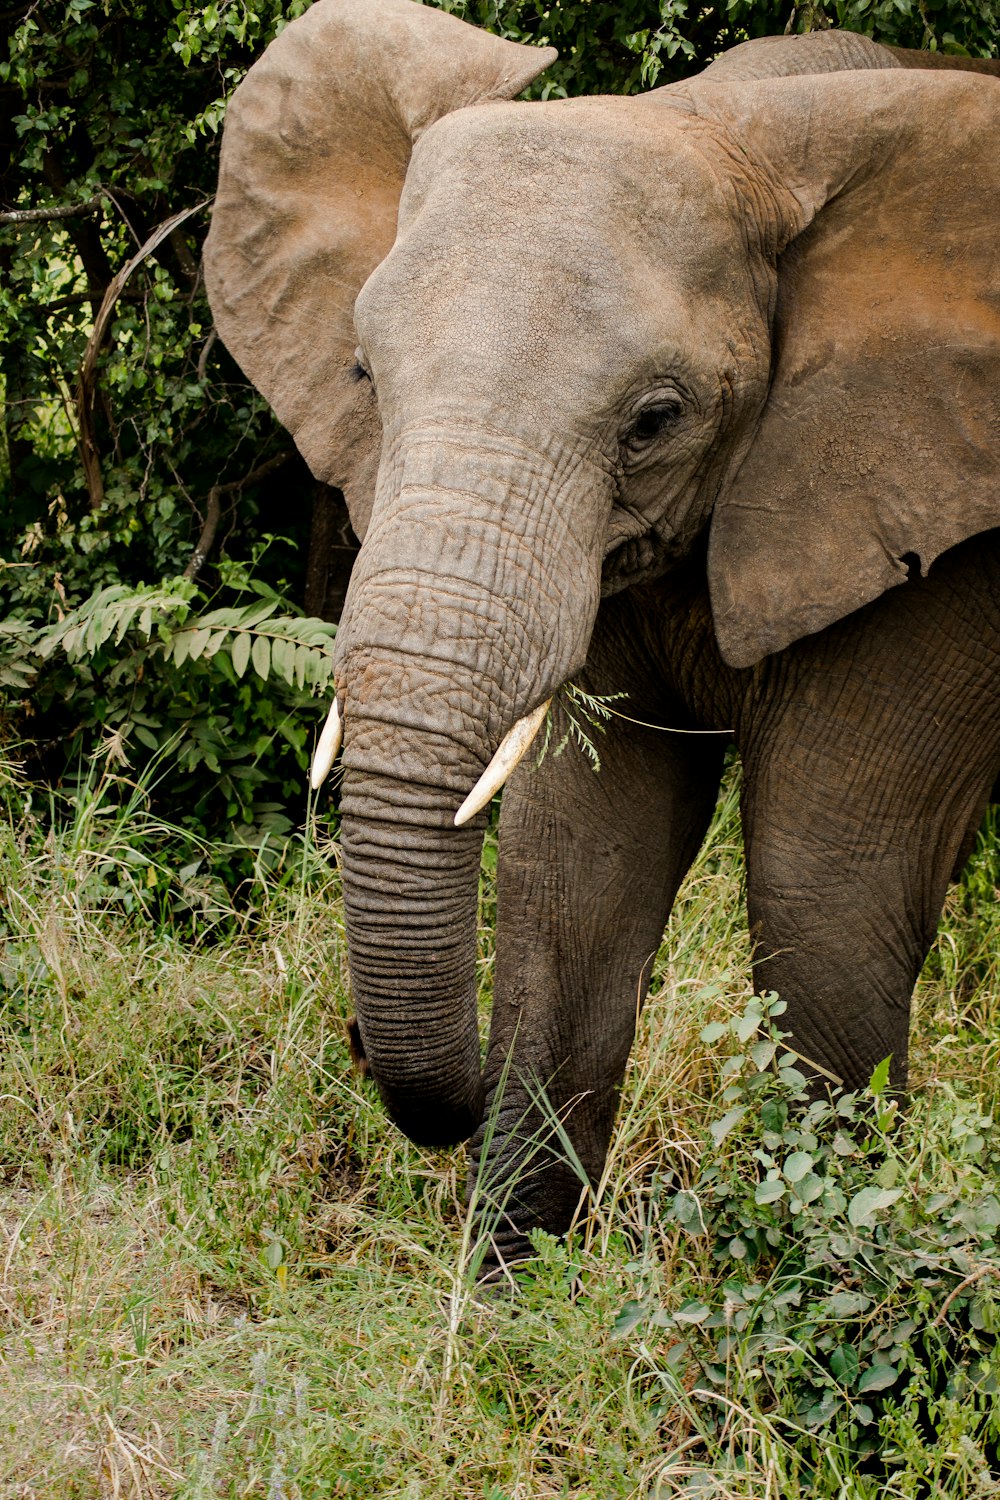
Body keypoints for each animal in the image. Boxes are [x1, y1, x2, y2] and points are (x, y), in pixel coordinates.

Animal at [203, 0, 1000, 1266]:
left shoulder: (935, 535)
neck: (736, 120)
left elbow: (827, 891)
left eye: (655, 420)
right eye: (363, 375)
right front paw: (505, 1289)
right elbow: (576, 861)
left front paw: (822, 1270)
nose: (355, 1045)